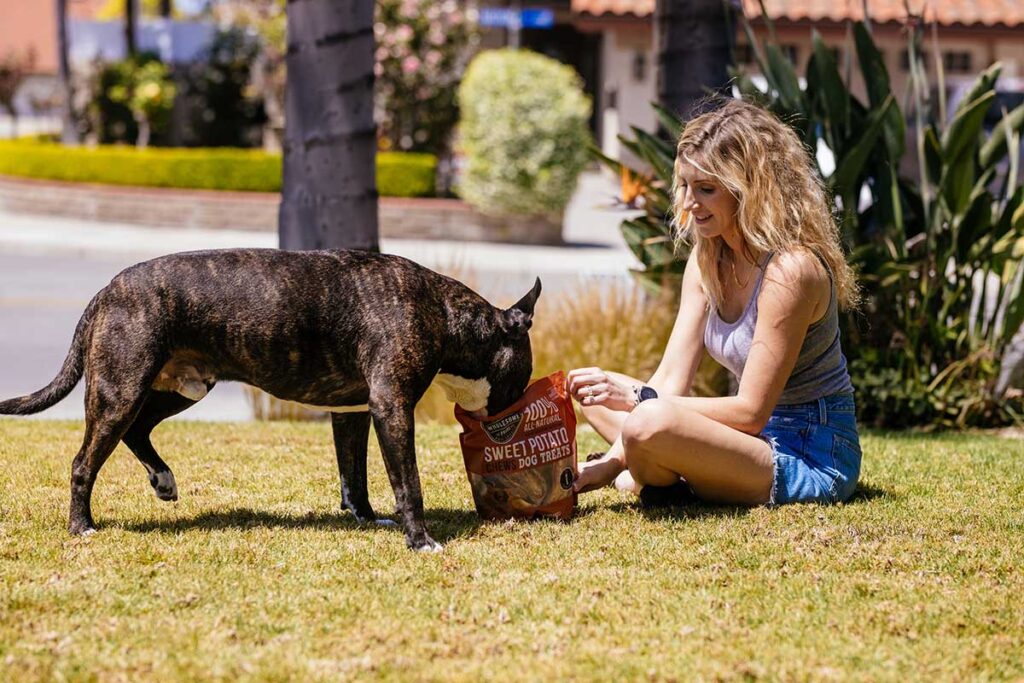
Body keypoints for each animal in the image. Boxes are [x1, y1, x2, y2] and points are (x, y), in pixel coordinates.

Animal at [0, 249, 540, 548]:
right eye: (525, 374)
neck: (444, 315)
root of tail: (107, 291)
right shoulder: (392, 409)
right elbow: (408, 482)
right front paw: (420, 540)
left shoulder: (353, 413)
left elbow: (355, 474)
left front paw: (366, 519)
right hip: (121, 389)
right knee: (83, 462)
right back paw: (82, 526)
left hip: (181, 386)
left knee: (139, 429)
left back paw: (163, 480)